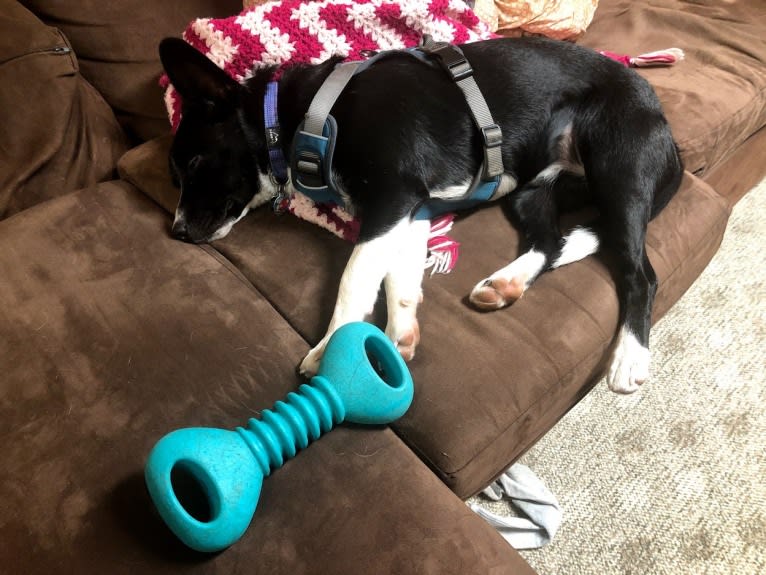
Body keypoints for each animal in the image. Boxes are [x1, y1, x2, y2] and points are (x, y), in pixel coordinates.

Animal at [160, 37, 684, 396]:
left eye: (194, 163)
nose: (178, 231)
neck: (301, 117)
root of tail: (665, 126)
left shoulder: (394, 198)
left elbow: (355, 277)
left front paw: (330, 349)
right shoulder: (413, 211)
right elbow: (400, 277)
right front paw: (399, 338)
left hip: (619, 170)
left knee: (642, 273)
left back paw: (629, 358)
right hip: (532, 188)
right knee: (550, 241)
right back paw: (506, 283)